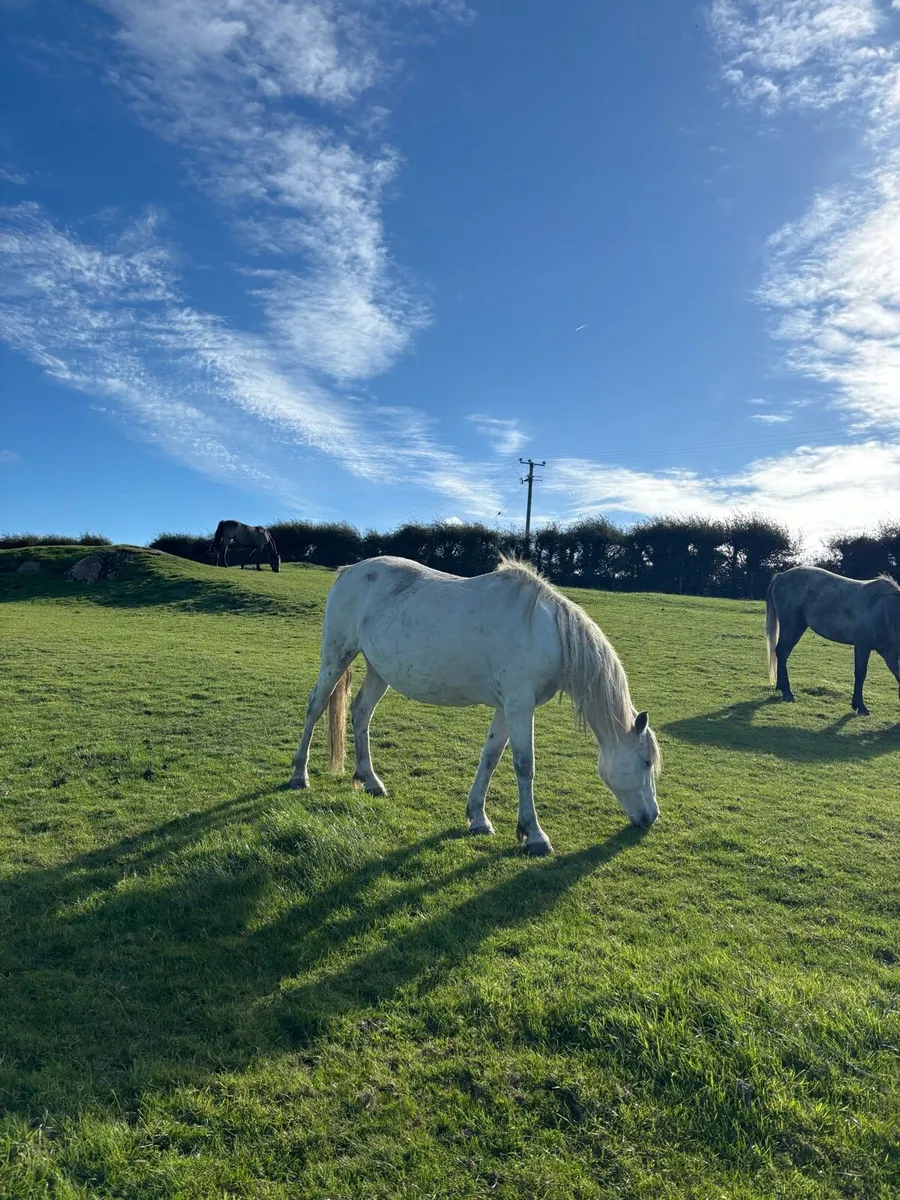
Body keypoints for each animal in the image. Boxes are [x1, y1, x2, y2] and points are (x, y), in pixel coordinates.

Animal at [288, 555, 661, 854]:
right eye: (645, 762)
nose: (652, 816)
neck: (546, 632)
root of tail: (350, 571)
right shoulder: (520, 704)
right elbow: (524, 766)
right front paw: (534, 835)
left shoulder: (507, 708)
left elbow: (490, 758)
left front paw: (478, 818)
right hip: (336, 656)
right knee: (315, 707)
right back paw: (298, 775)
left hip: (379, 671)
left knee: (361, 713)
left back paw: (370, 781)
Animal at [766, 566, 900, 714]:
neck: (884, 612)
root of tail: (781, 576)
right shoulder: (862, 646)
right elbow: (860, 673)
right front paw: (860, 706)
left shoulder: (889, 653)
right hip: (790, 625)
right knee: (782, 651)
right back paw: (787, 692)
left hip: (798, 627)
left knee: (783, 653)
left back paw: (781, 687)